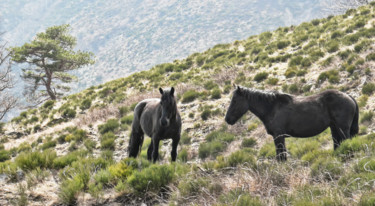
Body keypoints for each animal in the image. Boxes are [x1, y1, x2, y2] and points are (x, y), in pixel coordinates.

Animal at [225, 85, 360, 161]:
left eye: (235, 100)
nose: (227, 119)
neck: (272, 107)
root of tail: (348, 96)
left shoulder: (278, 137)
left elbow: (281, 156)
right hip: (334, 127)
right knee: (337, 143)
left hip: (342, 128)